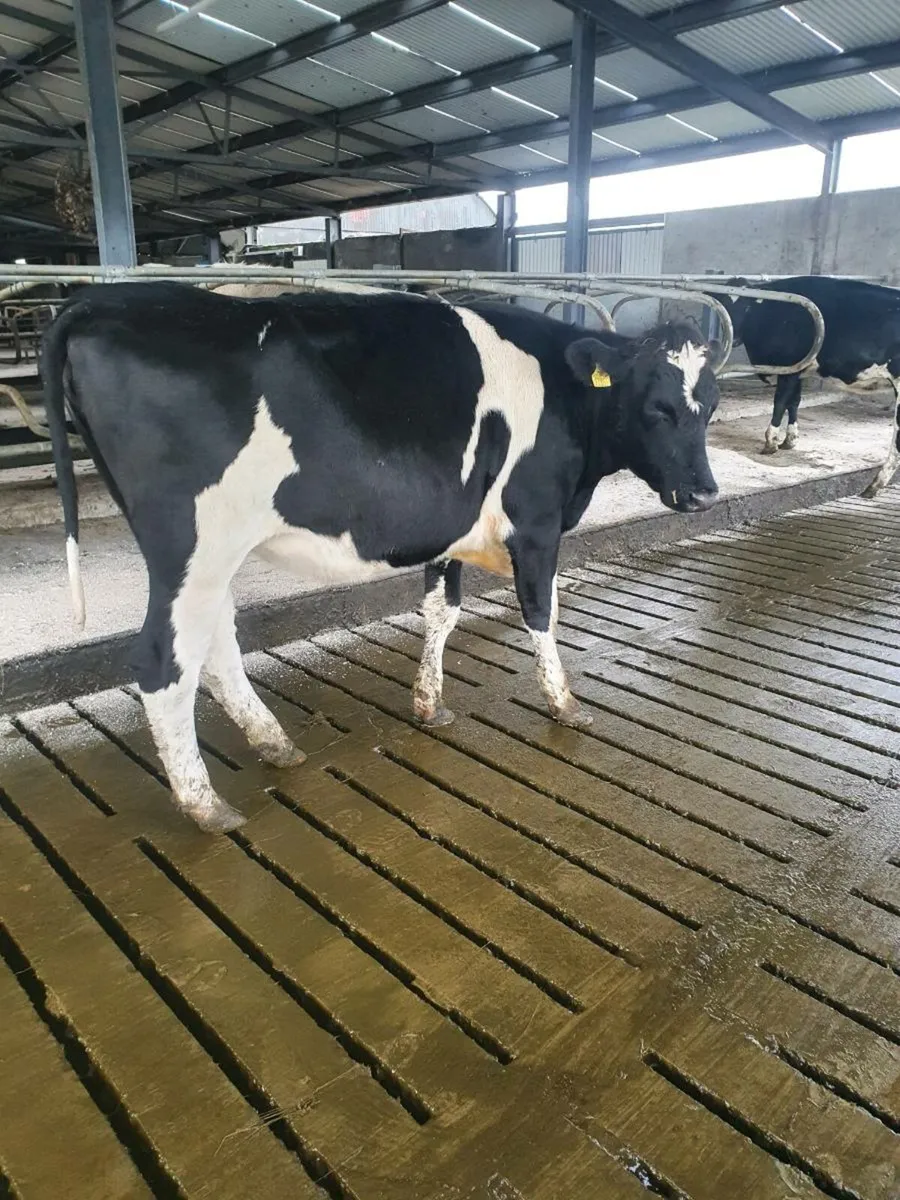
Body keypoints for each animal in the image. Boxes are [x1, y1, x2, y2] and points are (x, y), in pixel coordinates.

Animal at [41, 282, 720, 833]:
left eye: (708, 407)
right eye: (658, 407)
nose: (705, 494)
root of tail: (103, 301)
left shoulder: (452, 527)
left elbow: (442, 611)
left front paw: (429, 703)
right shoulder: (536, 521)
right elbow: (541, 612)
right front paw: (564, 703)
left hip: (215, 553)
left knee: (216, 645)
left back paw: (273, 744)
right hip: (193, 546)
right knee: (164, 661)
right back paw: (205, 804)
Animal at [720, 275, 900, 496]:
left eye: (746, 306)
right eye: (724, 304)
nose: (734, 337)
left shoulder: (788, 366)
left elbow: (780, 402)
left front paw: (771, 442)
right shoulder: (799, 370)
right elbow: (794, 401)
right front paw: (790, 440)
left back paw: (874, 485)